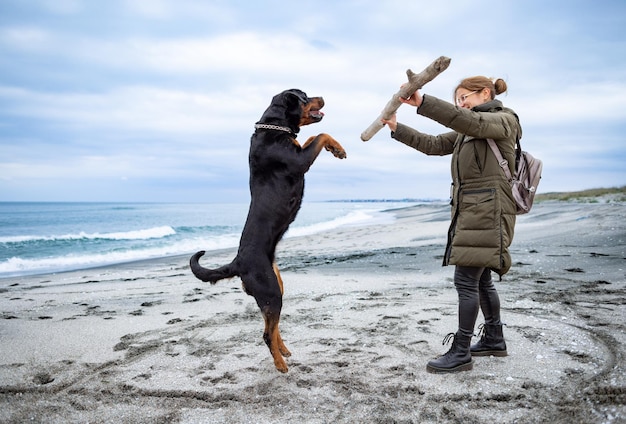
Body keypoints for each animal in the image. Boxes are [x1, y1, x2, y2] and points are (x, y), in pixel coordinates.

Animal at [190, 88, 346, 372]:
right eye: (304, 97)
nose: (322, 97)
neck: (275, 128)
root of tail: (238, 262)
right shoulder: (299, 160)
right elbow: (319, 135)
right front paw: (337, 147)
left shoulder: (299, 150)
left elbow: (312, 137)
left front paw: (335, 148)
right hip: (271, 291)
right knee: (265, 333)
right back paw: (280, 364)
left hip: (275, 288)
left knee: (271, 327)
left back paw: (282, 350)